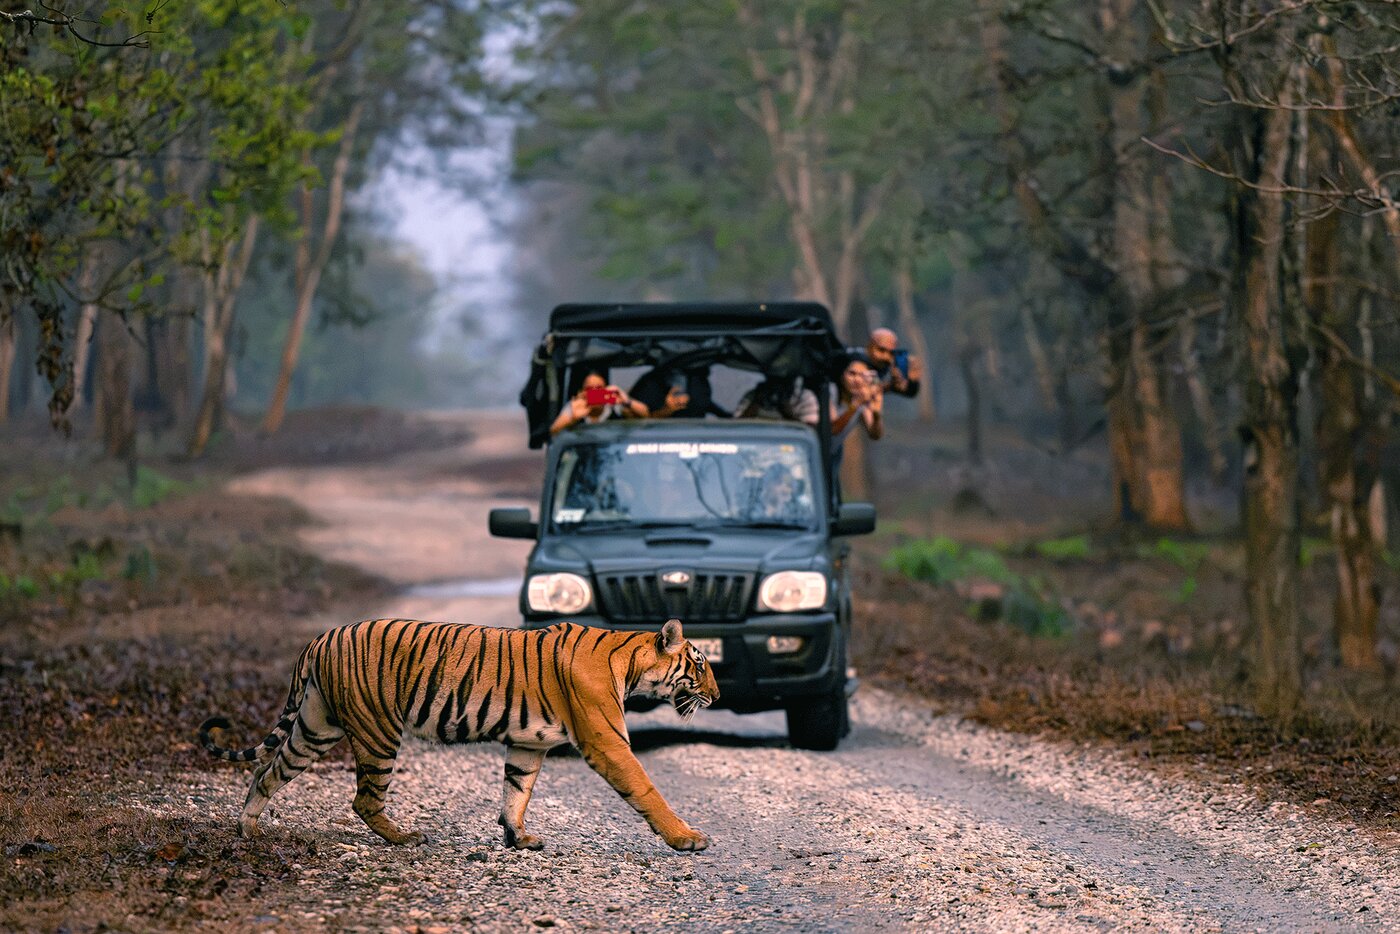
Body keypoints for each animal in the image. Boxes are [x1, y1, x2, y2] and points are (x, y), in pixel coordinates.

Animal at [198, 617, 719, 852]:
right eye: (698, 664)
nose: (715, 694)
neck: (629, 663)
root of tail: (322, 637)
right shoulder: (607, 741)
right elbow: (646, 790)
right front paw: (686, 838)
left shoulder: (527, 743)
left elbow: (516, 790)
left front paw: (518, 837)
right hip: (377, 731)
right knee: (364, 799)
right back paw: (404, 837)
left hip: (316, 726)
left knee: (267, 771)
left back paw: (248, 829)